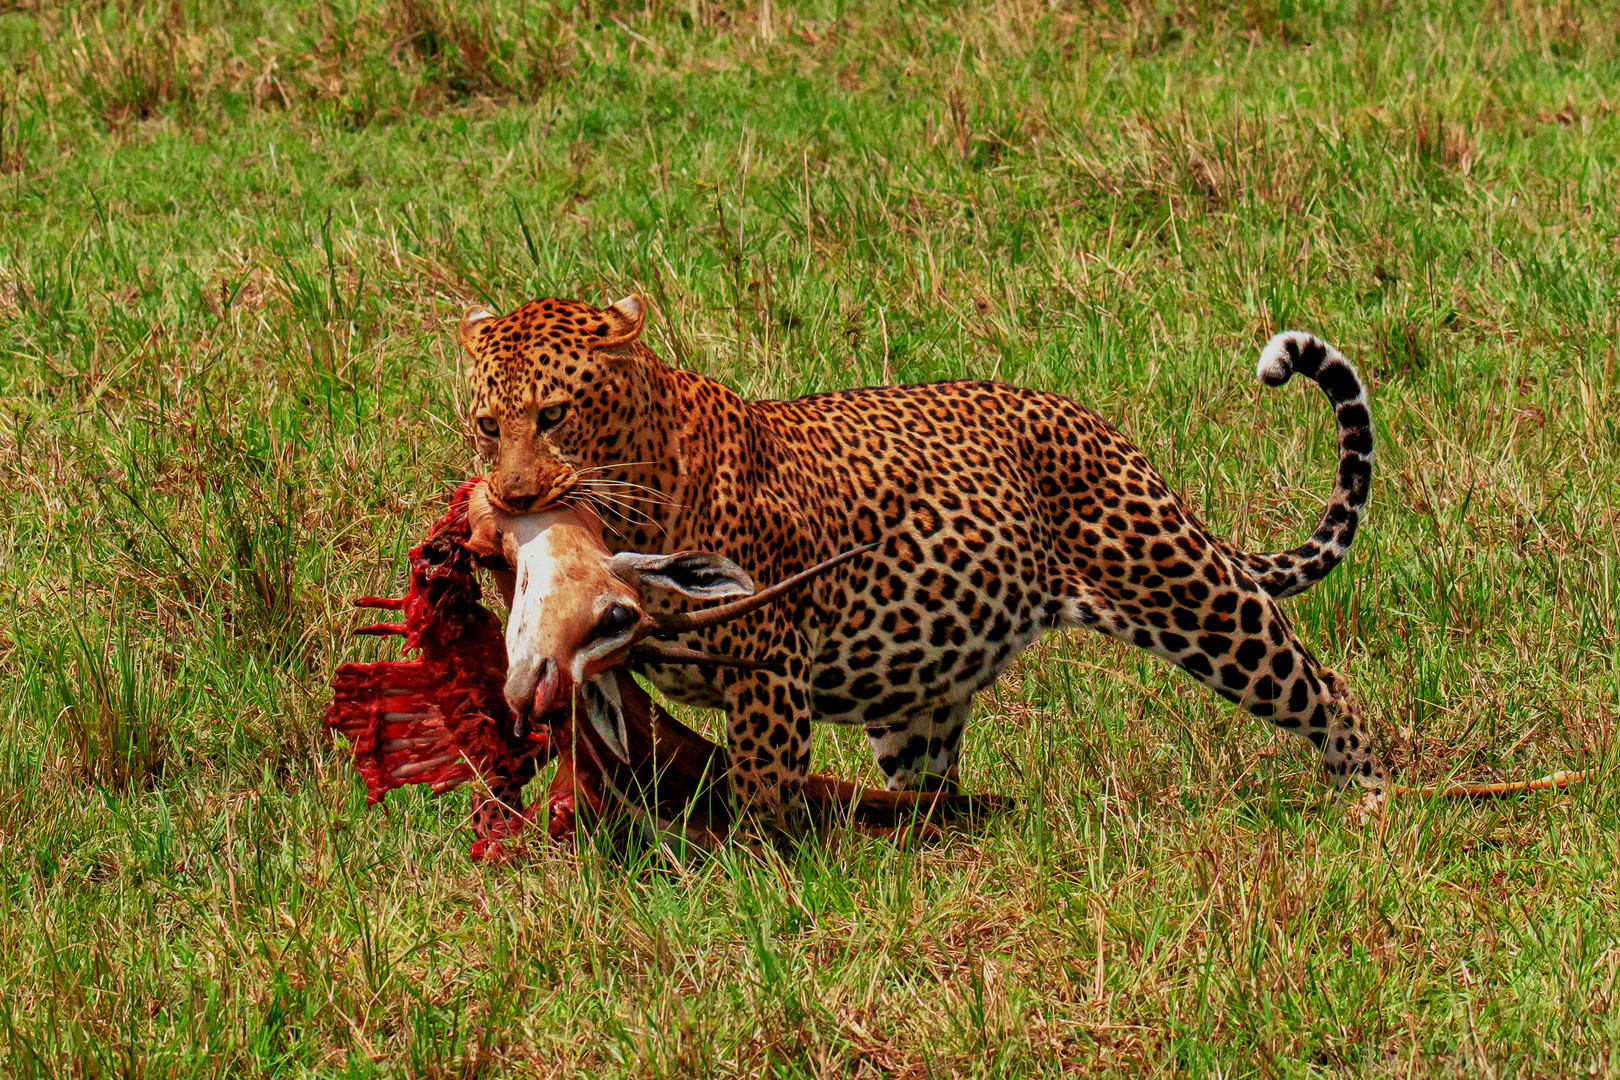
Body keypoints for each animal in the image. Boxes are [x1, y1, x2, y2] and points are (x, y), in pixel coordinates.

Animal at [456, 291, 1380, 822]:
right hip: (914, 698)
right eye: (487, 424)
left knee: (1328, 689)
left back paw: (1372, 807)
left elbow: (762, 789)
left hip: (1184, 590)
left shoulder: (770, 668)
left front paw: (756, 883)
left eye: (554, 414)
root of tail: (1101, 427)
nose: (512, 498)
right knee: (925, 784)